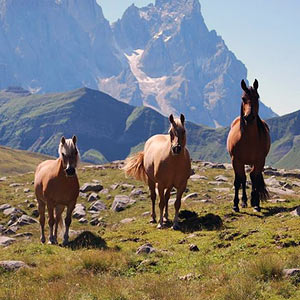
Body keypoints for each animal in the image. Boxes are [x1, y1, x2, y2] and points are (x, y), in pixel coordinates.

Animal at [227, 78, 270, 212]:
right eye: (243, 98)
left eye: (257, 97)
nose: (249, 117)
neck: (249, 139)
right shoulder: (236, 160)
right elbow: (238, 181)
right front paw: (235, 205)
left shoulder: (260, 160)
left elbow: (255, 179)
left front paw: (256, 203)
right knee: (243, 178)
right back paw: (244, 201)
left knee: (252, 177)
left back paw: (253, 201)